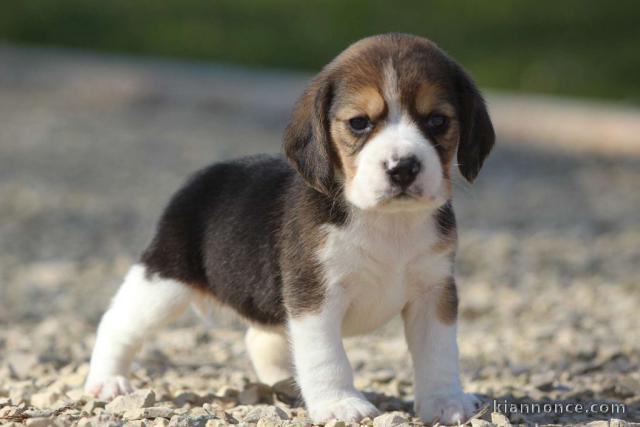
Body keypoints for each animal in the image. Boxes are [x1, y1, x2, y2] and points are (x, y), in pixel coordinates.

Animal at [84, 32, 496, 424]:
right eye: (359, 123)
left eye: (437, 121)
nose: (403, 167)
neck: (386, 220)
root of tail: (205, 176)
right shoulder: (315, 297)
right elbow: (327, 358)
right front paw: (340, 404)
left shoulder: (433, 292)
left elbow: (439, 354)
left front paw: (445, 402)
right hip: (162, 283)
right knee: (118, 323)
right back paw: (108, 380)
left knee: (259, 338)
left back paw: (284, 383)